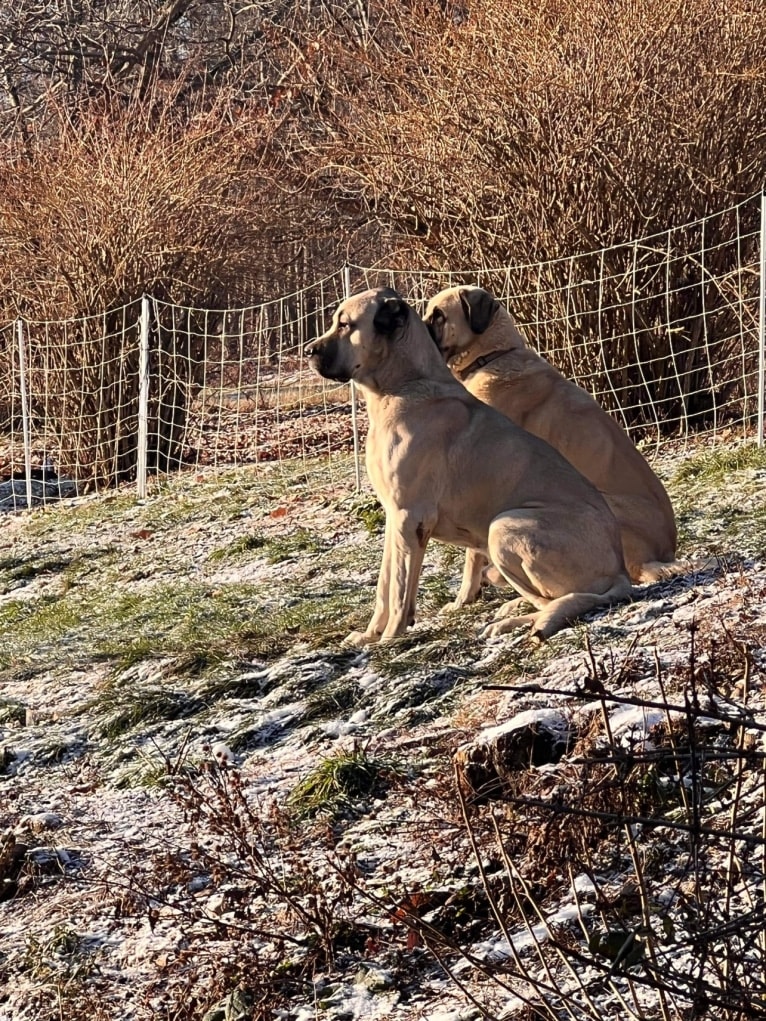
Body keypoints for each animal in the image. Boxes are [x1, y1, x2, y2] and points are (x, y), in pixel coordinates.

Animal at [302, 283, 633, 641]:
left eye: (345, 324)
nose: (308, 350)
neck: (401, 386)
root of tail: (622, 570)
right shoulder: (394, 519)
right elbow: (385, 585)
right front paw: (370, 635)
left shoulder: (410, 516)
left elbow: (400, 588)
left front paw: (389, 638)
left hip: (504, 526)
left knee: (561, 599)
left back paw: (512, 622)